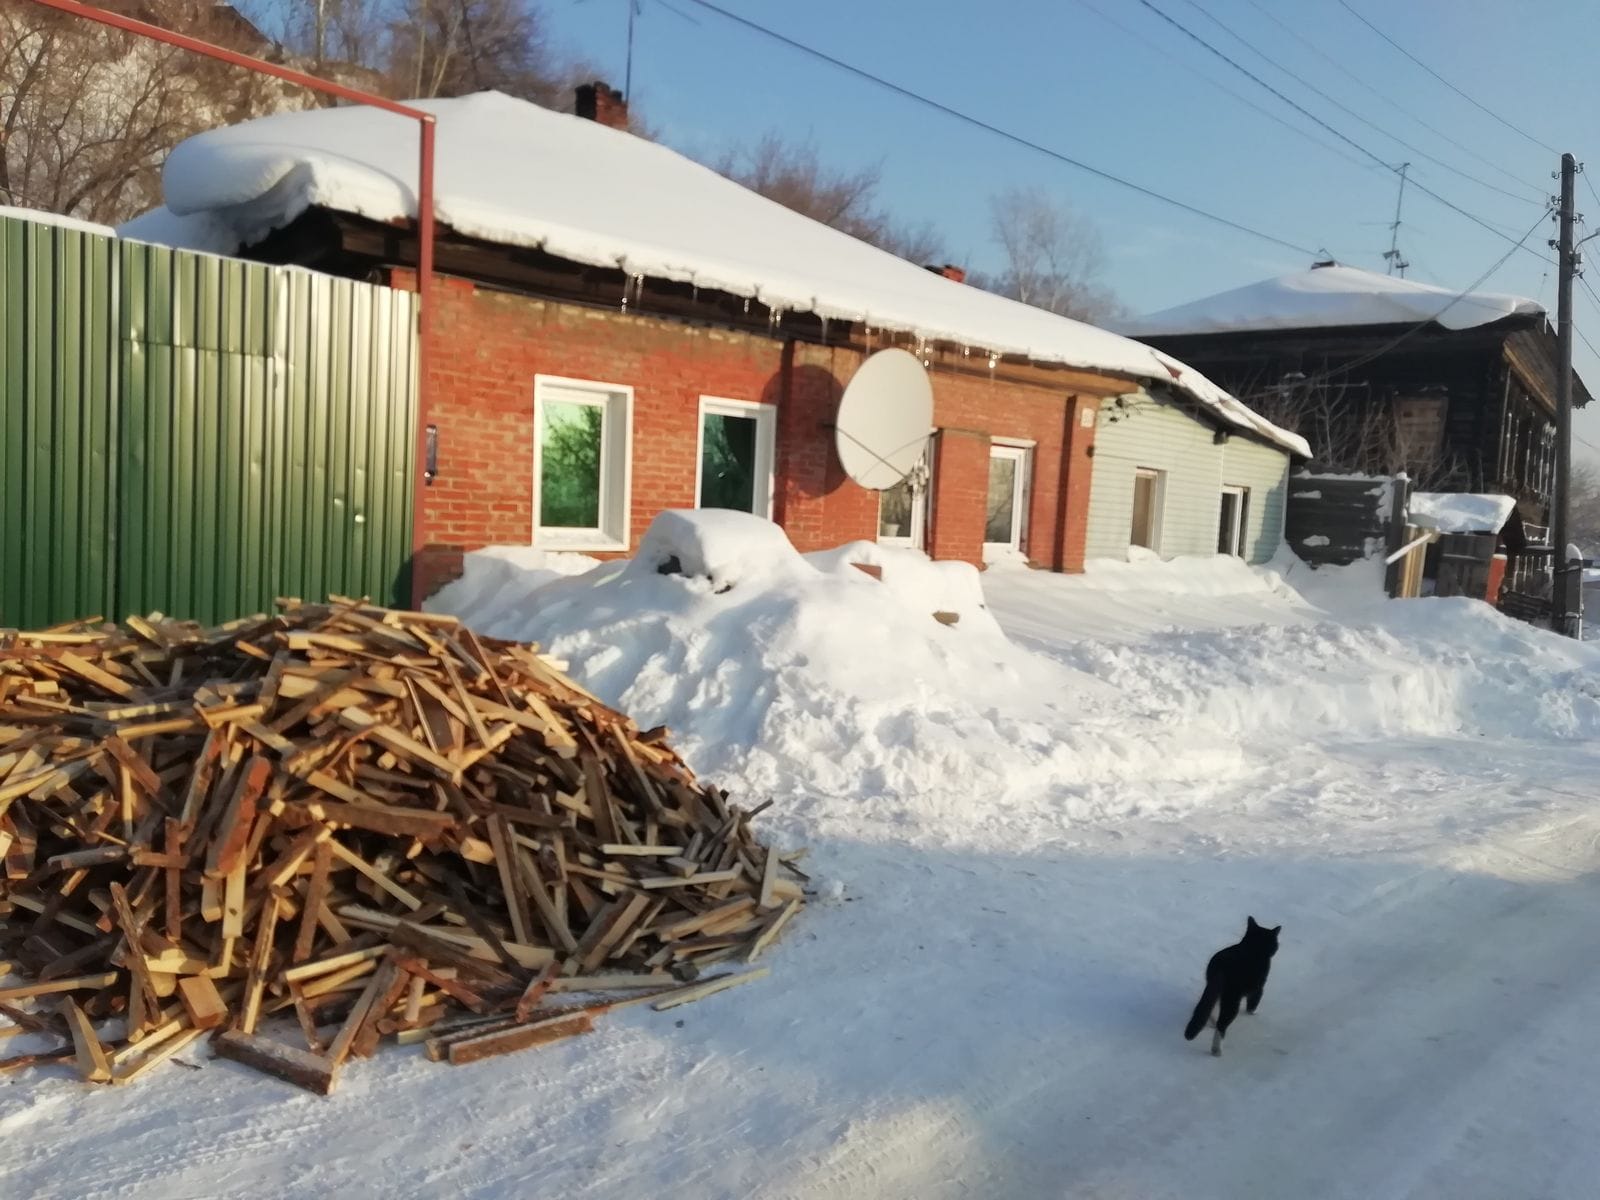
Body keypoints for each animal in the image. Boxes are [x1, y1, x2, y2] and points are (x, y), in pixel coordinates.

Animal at [1184, 915, 1280, 1056]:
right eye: (1275, 943)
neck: (1253, 947)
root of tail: (1222, 966)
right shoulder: (1259, 987)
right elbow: (1253, 1003)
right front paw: (1253, 1013)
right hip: (1232, 998)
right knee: (1222, 1024)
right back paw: (1216, 1050)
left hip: (1215, 987)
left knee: (1210, 1005)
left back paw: (1211, 1022)